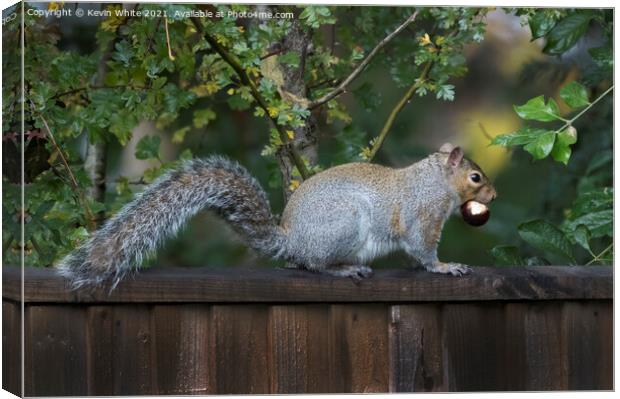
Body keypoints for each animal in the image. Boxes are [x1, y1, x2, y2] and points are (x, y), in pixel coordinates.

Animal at [57, 142, 494, 290]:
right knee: (314, 264)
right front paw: (445, 267)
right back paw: (343, 269)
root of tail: (290, 239)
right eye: (475, 177)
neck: (436, 181)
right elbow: (423, 249)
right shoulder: (424, 215)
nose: (493, 194)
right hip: (346, 224)